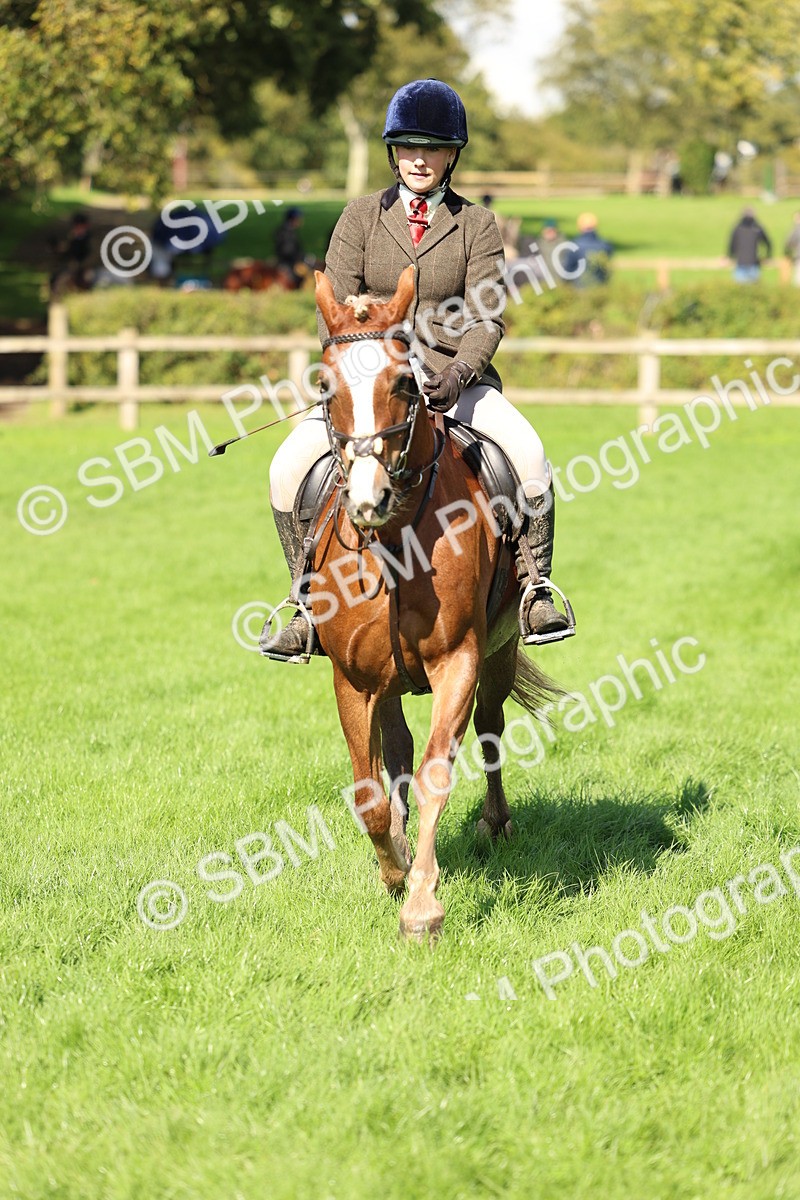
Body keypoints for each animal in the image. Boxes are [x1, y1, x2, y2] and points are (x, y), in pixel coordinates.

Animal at [306, 265, 559, 940]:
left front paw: (421, 904)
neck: (396, 541)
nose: (368, 500)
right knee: (394, 748)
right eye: (324, 385)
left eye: (404, 382)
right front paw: (392, 870)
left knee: (492, 725)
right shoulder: (352, 678)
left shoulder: (458, 662)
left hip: (499, 649)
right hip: (390, 678)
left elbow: (436, 773)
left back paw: (496, 823)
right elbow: (368, 790)